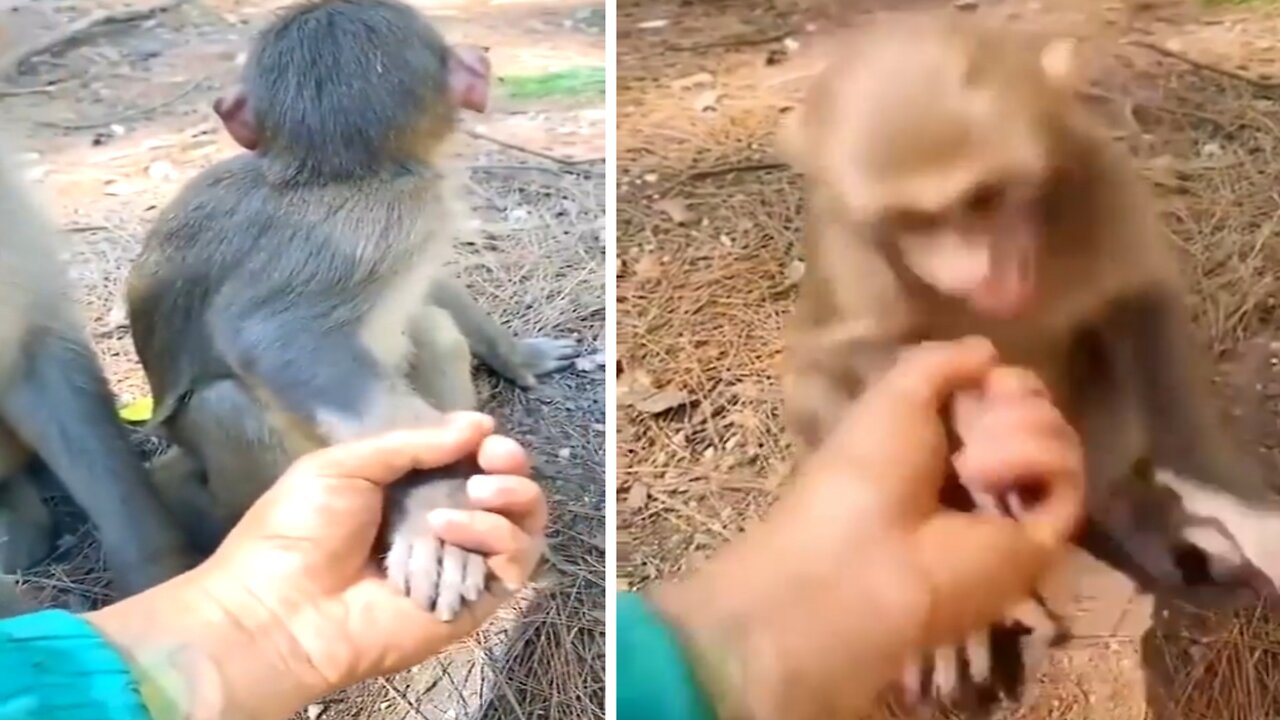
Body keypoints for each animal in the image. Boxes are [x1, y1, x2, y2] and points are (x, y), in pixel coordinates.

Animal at [127, 0, 578, 620]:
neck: (329, 173)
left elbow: (427, 288)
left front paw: (515, 355)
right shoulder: (396, 216)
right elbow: (277, 338)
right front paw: (437, 506)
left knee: (432, 331)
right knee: (228, 407)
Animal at [773, 12, 1280, 707]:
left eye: (985, 198)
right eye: (912, 220)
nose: (972, 273)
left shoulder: (1096, 176)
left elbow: (1139, 304)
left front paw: (1225, 495)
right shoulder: (853, 246)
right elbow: (866, 349)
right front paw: (988, 430)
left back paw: (1131, 509)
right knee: (815, 385)